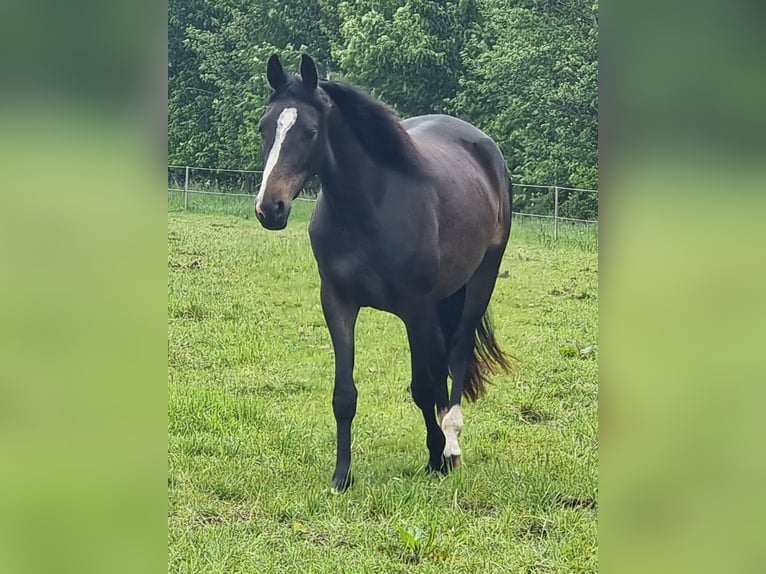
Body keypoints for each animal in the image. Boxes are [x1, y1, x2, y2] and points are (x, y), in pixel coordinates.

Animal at [255, 54, 512, 493]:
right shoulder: (338, 303)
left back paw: (452, 444)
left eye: (309, 132)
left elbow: (422, 386)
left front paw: (436, 455)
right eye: (264, 127)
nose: (269, 208)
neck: (368, 209)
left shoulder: (416, 308)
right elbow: (344, 395)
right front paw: (341, 476)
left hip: (482, 279)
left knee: (457, 352)